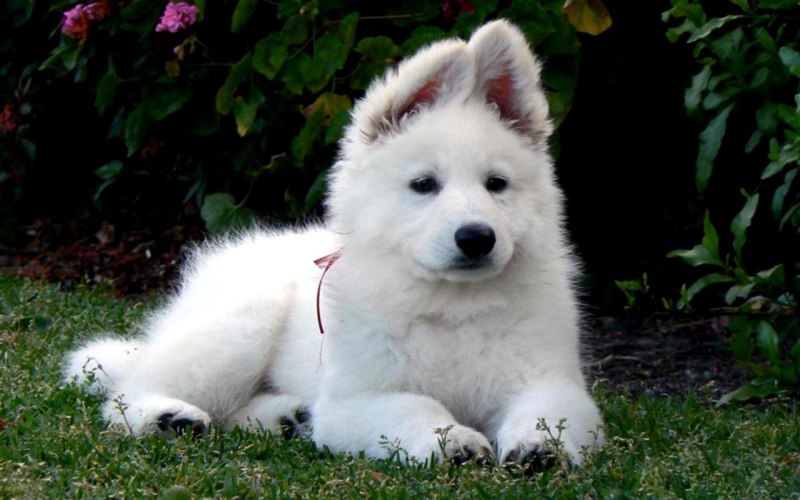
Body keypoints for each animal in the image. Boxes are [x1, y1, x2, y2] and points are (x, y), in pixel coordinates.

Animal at [64, 19, 604, 467]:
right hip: (243, 323)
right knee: (132, 391)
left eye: (497, 184)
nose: (476, 238)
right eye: (424, 185)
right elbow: (417, 407)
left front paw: (539, 446)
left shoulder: (551, 381)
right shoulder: (357, 401)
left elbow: (548, 412)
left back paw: (285, 417)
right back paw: (168, 417)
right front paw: (452, 441)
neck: (452, 304)